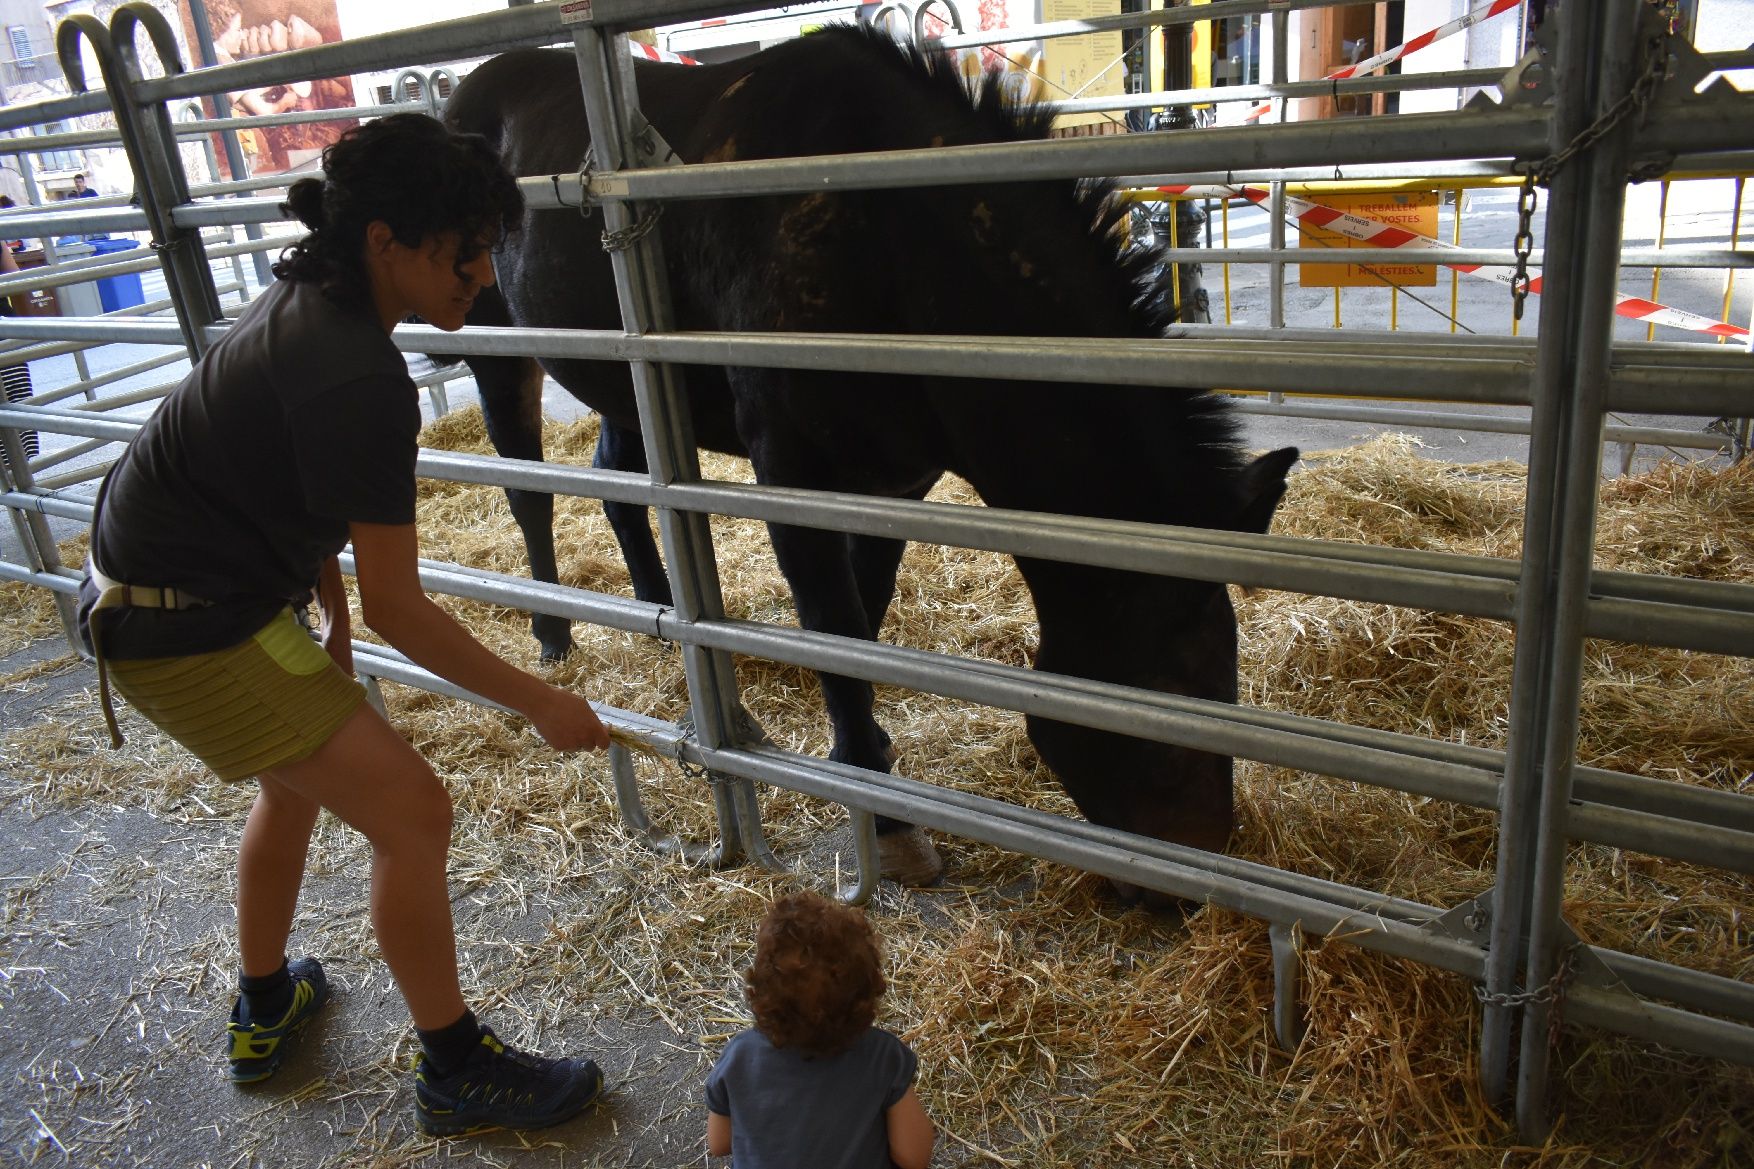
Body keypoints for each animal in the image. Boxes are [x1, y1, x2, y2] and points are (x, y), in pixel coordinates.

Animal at [442, 27, 1290, 884]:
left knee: (619, 487)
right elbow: (834, 629)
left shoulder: (894, 483)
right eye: (1174, 688)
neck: (891, 242)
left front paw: (870, 757)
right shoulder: (790, 474)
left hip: (625, 380)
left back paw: (664, 623)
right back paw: (553, 633)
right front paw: (882, 815)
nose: (1195, 878)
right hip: (496, 347)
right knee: (527, 489)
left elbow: (865, 617)